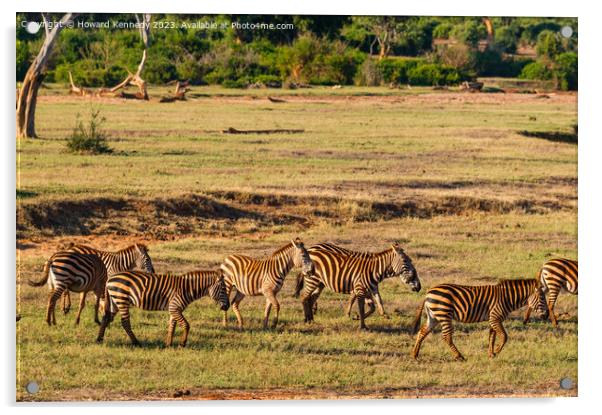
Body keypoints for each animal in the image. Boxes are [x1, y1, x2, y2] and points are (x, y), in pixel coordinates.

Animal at [96, 270, 230, 348]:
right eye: (223, 289)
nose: (227, 306)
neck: (187, 288)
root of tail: (110, 278)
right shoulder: (175, 307)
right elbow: (186, 325)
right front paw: (182, 344)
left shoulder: (174, 309)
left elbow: (172, 326)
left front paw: (168, 344)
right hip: (121, 299)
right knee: (125, 322)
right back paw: (136, 343)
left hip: (115, 301)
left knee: (106, 318)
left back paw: (99, 339)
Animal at [410, 280, 548, 360]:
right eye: (542, 298)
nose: (546, 316)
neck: (506, 298)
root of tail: (428, 293)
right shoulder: (495, 318)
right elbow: (504, 337)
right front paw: (497, 351)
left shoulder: (493, 319)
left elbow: (492, 337)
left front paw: (491, 354)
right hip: (444, 314)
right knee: (446, 336)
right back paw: (459, 356)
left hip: (433, 316)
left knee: (422, 332)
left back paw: (415, 354)